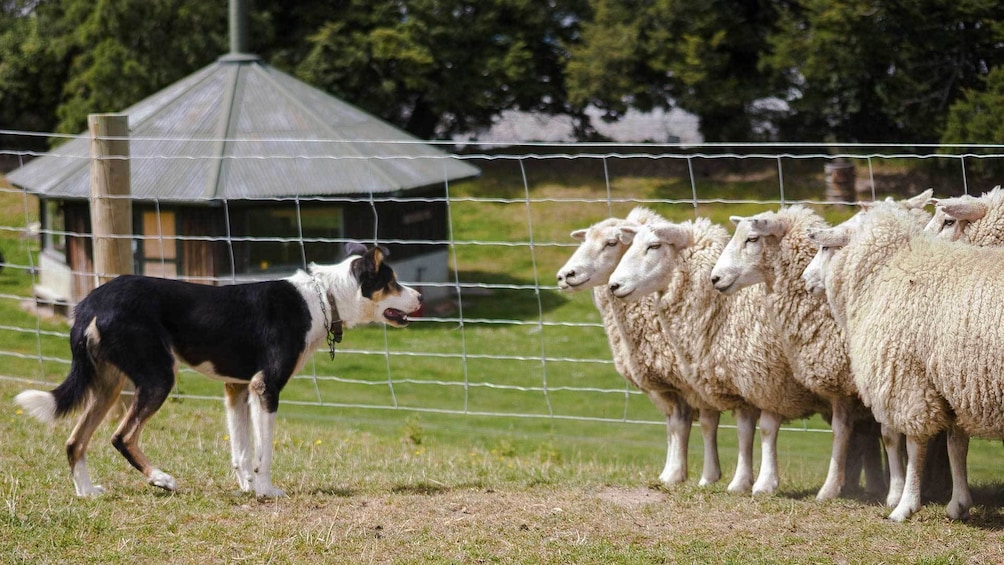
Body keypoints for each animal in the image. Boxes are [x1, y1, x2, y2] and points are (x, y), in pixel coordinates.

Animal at [17, 242, 421, 499]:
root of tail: (91, 301)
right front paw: (266, 490)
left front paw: (247, 488)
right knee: (121, 436)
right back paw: (160, 479)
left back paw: (87, 492)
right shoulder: (266, 388)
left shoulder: (237, 388)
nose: (419, 297)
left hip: (107, 385)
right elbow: (263, 452)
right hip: (158, 377)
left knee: (75, 441)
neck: (323, 297)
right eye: (392, 282)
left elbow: (241, 450)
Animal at [558, 207, 722, 485]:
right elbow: (674, 425)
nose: (564, 275)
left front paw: (701, 476)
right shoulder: (667, 384)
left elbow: (703, 423)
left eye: (611, 243)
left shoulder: (694, 380)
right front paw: (671, 472)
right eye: (585, 240)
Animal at [602, 210, 823, 495]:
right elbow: (736, 430)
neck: (727, 309)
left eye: (655, 245)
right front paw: (732, 480)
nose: (614, 285)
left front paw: (759, 482)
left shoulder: (770, 380)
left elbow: (762, 429)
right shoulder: (728, 384)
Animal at [803, 203, 1003, 521]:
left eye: (825, 247)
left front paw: (905, 505)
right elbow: (956, 445)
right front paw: (958, 504)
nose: (805, 279)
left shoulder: (909, 380)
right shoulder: (951, 383)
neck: (888, 269)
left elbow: (915, 445)